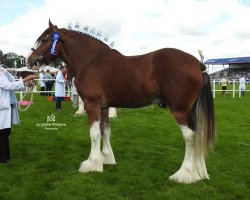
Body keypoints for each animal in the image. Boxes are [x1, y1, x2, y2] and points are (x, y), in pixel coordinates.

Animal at [26, 21, 215, 184]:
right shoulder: (103, 107)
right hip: (190, 111)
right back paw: (199, 172)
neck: (90, 60)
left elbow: (94, 134)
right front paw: (106, 158)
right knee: (198, 134)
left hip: (179, 110)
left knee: (190, 137)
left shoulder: (92, 105)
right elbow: (105, 131)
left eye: (45, 39)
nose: (29, 60)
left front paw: (91, 164)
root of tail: (198, 64)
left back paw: (184, 174)